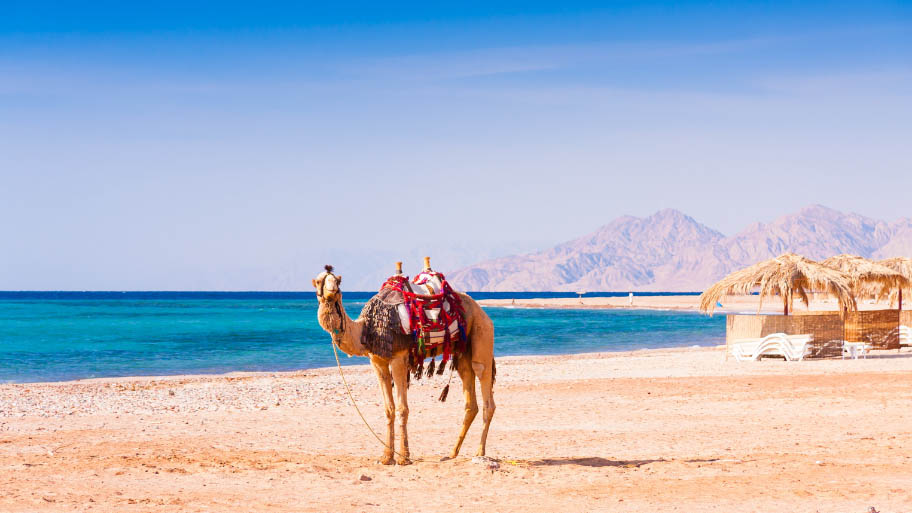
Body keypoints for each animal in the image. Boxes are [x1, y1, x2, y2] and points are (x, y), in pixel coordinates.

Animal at [316, 264, 498, 464]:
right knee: (470, 398)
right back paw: (452, 453)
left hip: (482, 331)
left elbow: (402, 408)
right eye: (319, 281)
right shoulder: (377, 361)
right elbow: (389, 408)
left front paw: (404, 457)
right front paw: (386, 457)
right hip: (462, 351)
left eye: (337, 281)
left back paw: (480, 452)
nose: (332, 290)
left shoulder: (398, 357)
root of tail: (480, 309)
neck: (366, 328)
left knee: (484, 381)